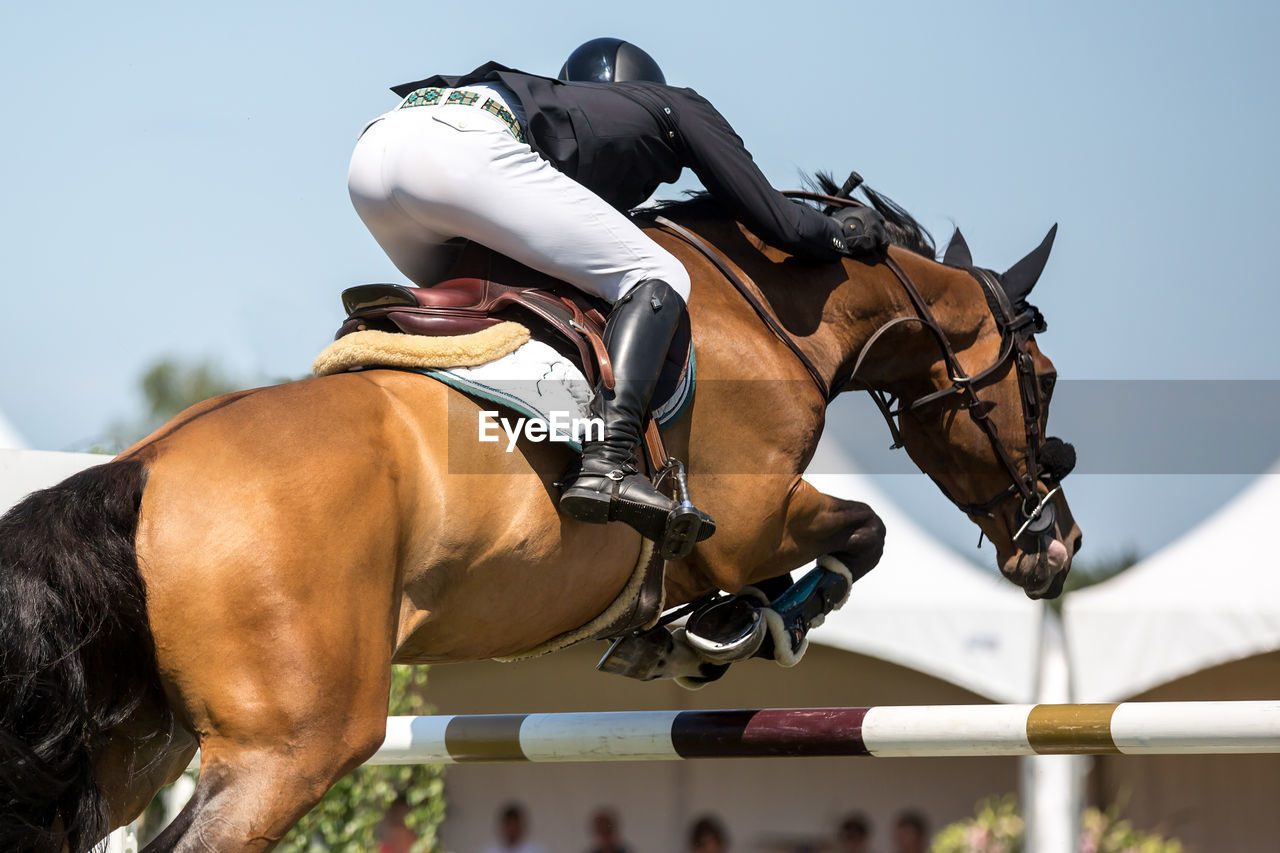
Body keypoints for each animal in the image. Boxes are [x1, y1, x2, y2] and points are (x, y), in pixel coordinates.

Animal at [0, 183, 1080, 845]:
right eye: (1043, 377)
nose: (1055, 544)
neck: (766, 312)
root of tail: (142, 471)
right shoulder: (750, 516)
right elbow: (860, 532)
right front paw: (747, 625)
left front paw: (689, 630)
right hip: (291, 749)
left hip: (137, 746)